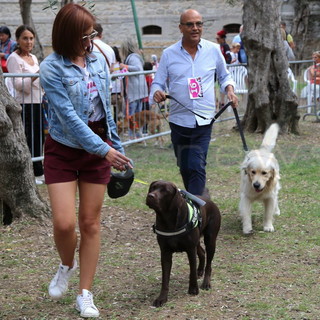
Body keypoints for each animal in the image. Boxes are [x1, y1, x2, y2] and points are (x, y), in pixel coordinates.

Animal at [146, 180, 221, 308]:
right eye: (153, 188)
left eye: (165, 191)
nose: (150, 196)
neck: (168, 220)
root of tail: (209, 200)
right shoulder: (165, 253)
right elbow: (165, 279)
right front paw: (162, 298)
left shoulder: (190, 249)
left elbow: (192, 272)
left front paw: (193, 289)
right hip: (197, 241)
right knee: (202, 252)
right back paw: (200, 271)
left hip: (210, 240)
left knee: (209, 264)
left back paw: (206, 282)